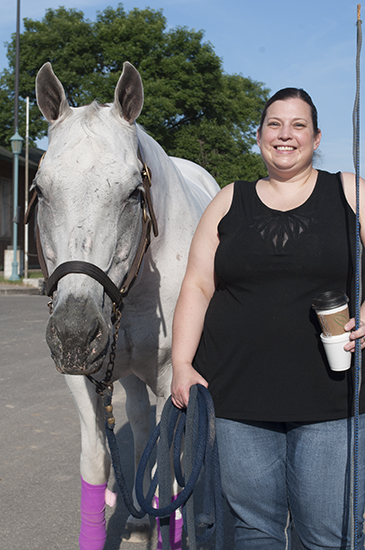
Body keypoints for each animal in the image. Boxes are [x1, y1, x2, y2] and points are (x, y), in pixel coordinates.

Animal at [33, 62, 219, 548]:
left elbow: (171, 469)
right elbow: (97, 462)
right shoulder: (83, 377)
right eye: (40, 190)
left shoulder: (176, 378)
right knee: (138, 419)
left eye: (134, 192)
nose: (75, 332)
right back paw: (137, 523)